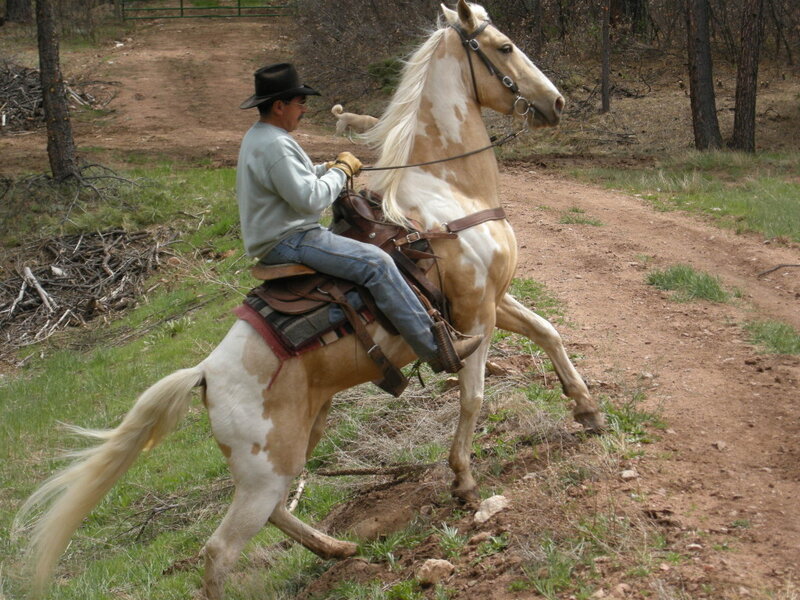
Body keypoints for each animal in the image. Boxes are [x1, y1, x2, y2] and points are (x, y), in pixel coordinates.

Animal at [14, 2, 605, 598]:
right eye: (504, 47)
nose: (556, 102)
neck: (448, 193)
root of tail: (204, 375)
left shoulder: (495, 301)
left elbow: (549, 332)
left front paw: (587, 410)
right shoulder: (476, 315)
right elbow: (472, 397)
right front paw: (463, 481)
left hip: (296, 443)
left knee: (277, 511)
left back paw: (337, 548)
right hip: (265, 470)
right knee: (220, 550)